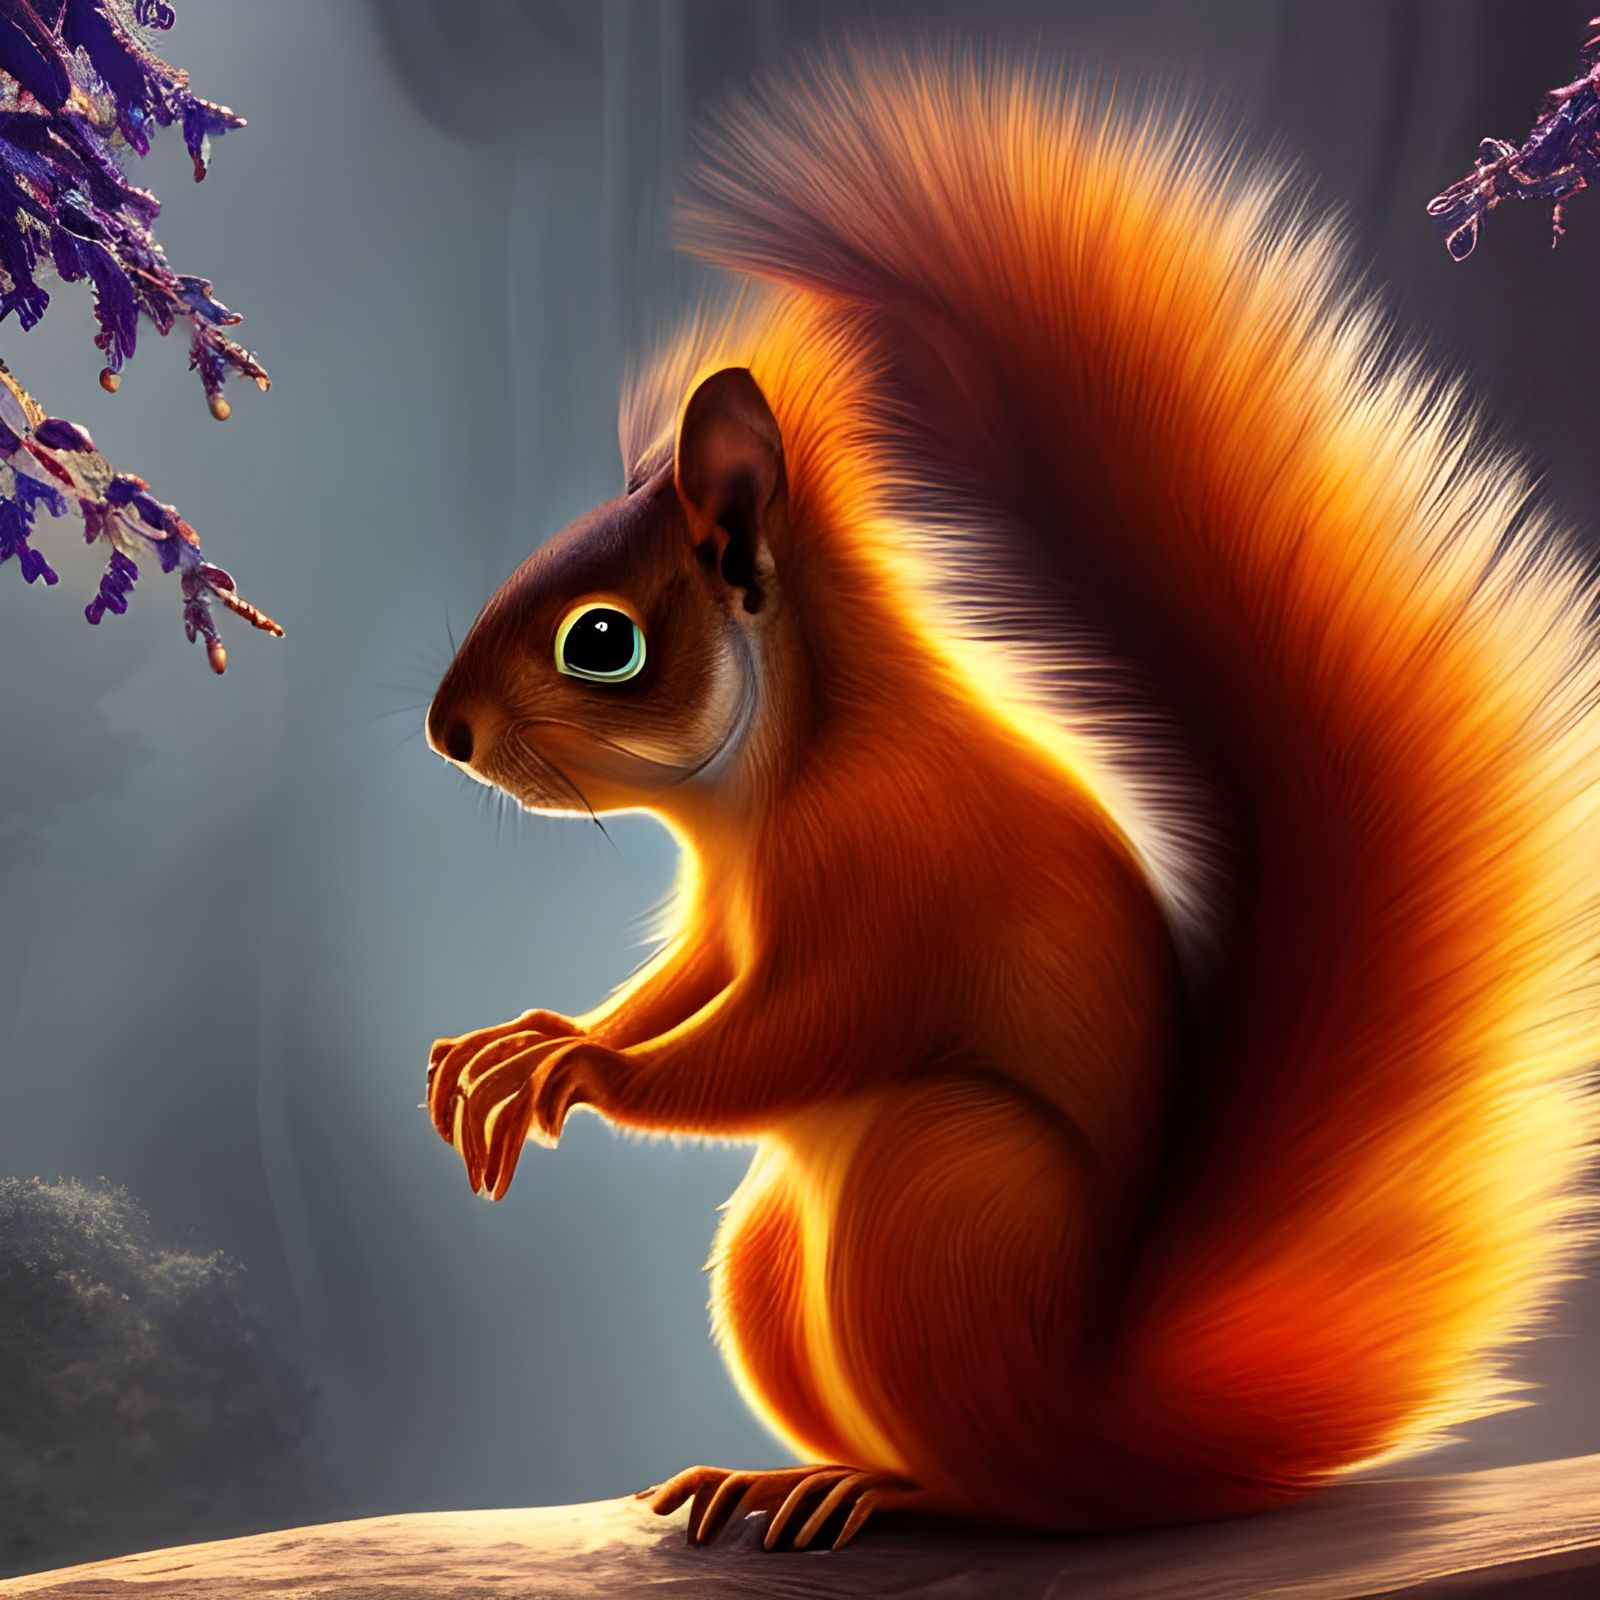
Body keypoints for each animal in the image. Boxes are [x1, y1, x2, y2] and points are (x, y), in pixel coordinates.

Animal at [423, 52, 1600, 1551]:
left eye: (601, 642)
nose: (446, 734)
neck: (779, 775)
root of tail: (1114, 1430)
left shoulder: (898, 862)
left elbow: (801, 1034)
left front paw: (586, 1070)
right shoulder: (725, 916)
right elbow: (686, 985)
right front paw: (539, 1034)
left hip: (940, 1184)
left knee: (994, 1487)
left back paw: (882, 1488)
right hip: (776, 1256)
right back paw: (775, 1474)